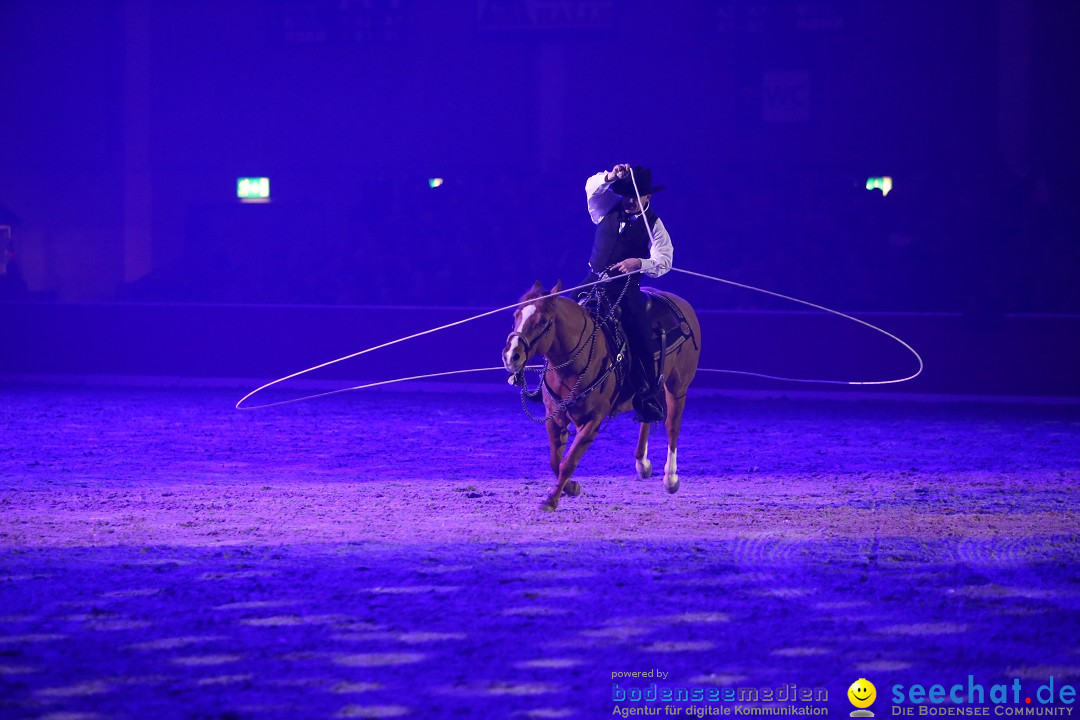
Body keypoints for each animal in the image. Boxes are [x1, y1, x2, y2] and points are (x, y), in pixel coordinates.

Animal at [503, 278, 704, 509]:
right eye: (516, 315)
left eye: (543, 321)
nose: (511, 356)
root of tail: (682, 305)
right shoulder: (555, 417)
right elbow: (555, 461)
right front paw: (571, 488)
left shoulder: (592, 421)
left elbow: (568, 462)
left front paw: (552, 500)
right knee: (647, 415)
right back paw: (642, 464)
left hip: (678, 386)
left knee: (672, 426)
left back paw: (670, 478)